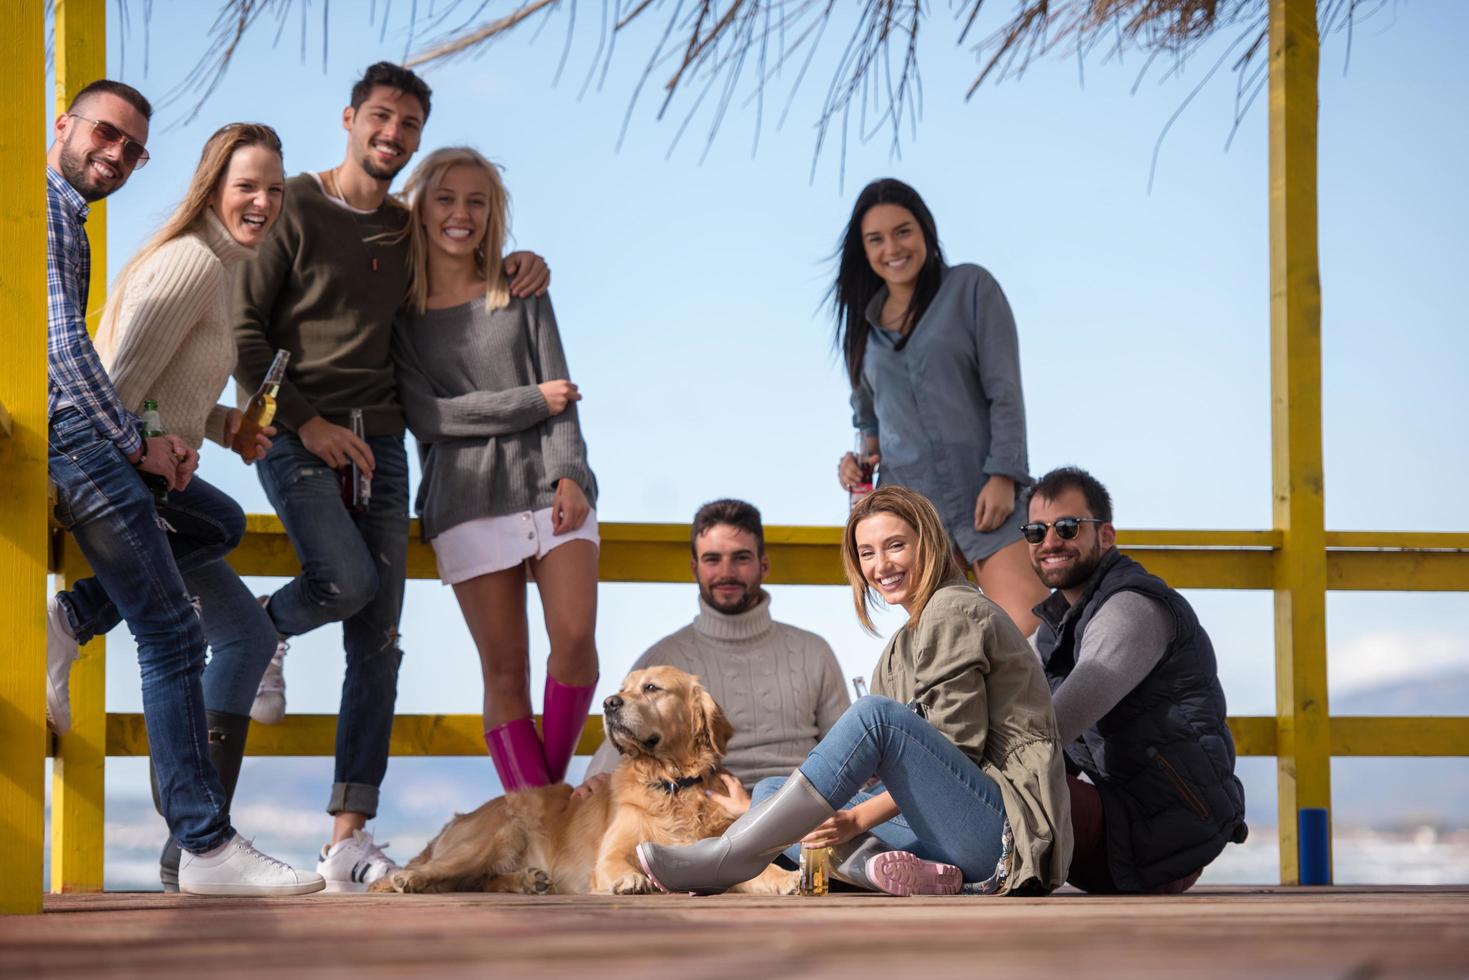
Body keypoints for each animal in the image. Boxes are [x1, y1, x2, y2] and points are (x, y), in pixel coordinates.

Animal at [373, 667, 799, 899]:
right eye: (622, 688)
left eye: (651, 687)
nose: (610, 703)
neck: (671, 783)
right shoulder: (611, 854)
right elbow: (619, 863)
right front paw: (631, 879)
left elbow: (757, 871)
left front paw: (786, 878)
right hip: (494, 835)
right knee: (439, 873)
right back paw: (408, 877)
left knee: (476, 881)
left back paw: (528, 880)